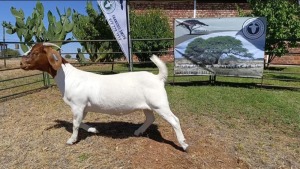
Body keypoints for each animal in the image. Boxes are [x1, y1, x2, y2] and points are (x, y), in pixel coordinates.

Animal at [19, 43, 189, 151]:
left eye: (35, 53)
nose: (21, 63)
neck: (68, 77)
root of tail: (158, 78)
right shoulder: (84, 107)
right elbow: (80, 122)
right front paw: (93, 129)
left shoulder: (78, 105)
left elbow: (75, 124)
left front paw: (71, 140)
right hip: (147, 105)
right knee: (150, 118)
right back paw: (138, 132)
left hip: (159, 104)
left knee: (175, 120)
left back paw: (184, 144)